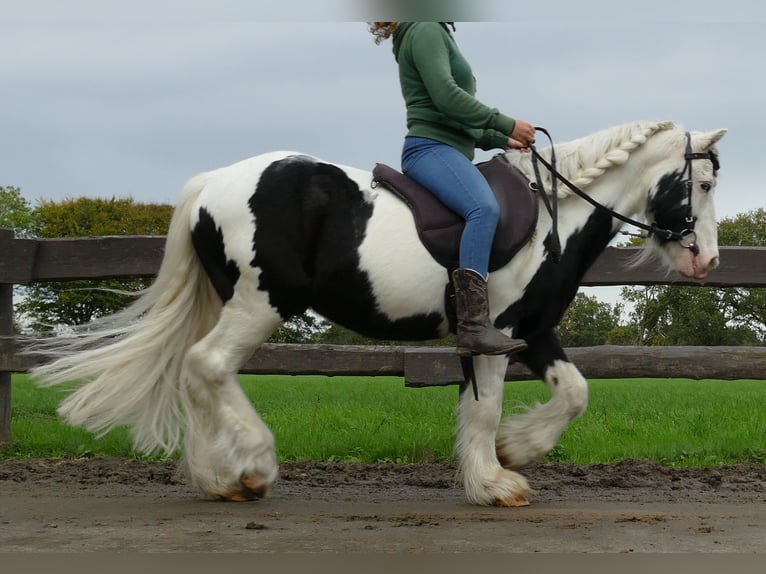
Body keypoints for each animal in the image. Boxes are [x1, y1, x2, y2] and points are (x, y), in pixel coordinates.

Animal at [30, 121, 728, 508]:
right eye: (704, 184)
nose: (709, 261)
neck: (556, 214)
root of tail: (211, 183)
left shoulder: (531, 330)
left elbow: (575, 392)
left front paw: (516, 451)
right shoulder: (496, 332)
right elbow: (485, 409)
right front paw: (495, 482)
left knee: (198, 376)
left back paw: (218, 478)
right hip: (261, 302)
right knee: (209, 366)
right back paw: (254, 466)